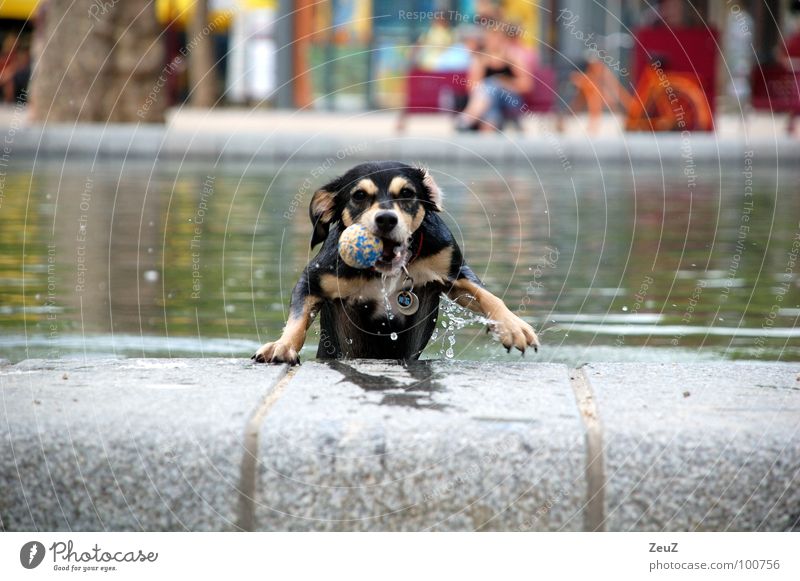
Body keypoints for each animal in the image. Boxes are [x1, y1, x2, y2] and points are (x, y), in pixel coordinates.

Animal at [252, 160, 536, 362]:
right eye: (358, 196)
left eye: (407, 193)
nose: (386, 219)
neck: (386, 271)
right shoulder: (314, 278)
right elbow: (297, 318)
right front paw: (282, 346)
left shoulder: (453, 270)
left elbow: (488, 296)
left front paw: (513, 326)